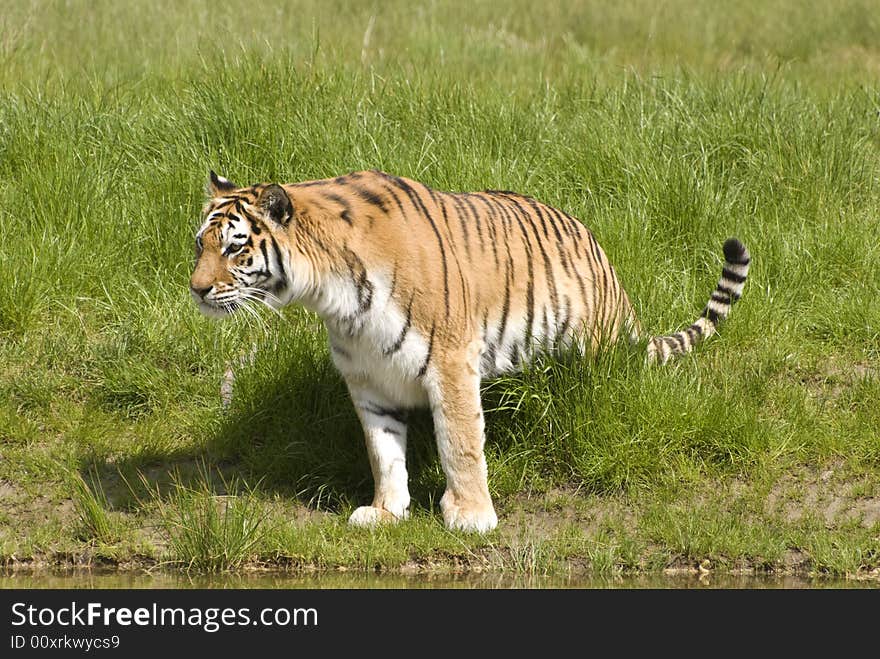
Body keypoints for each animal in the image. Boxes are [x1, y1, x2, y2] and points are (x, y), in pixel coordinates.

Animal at [187, 168, 748, 532]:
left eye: (235, 246)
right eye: (200, 244)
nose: (195, 290)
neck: (332, 296)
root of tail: (602, 258)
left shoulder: (450, 362)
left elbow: (459, 443)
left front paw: (472, 515)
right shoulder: (367, 380)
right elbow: (383, 451)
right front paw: (387, 511)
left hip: (595, 352)